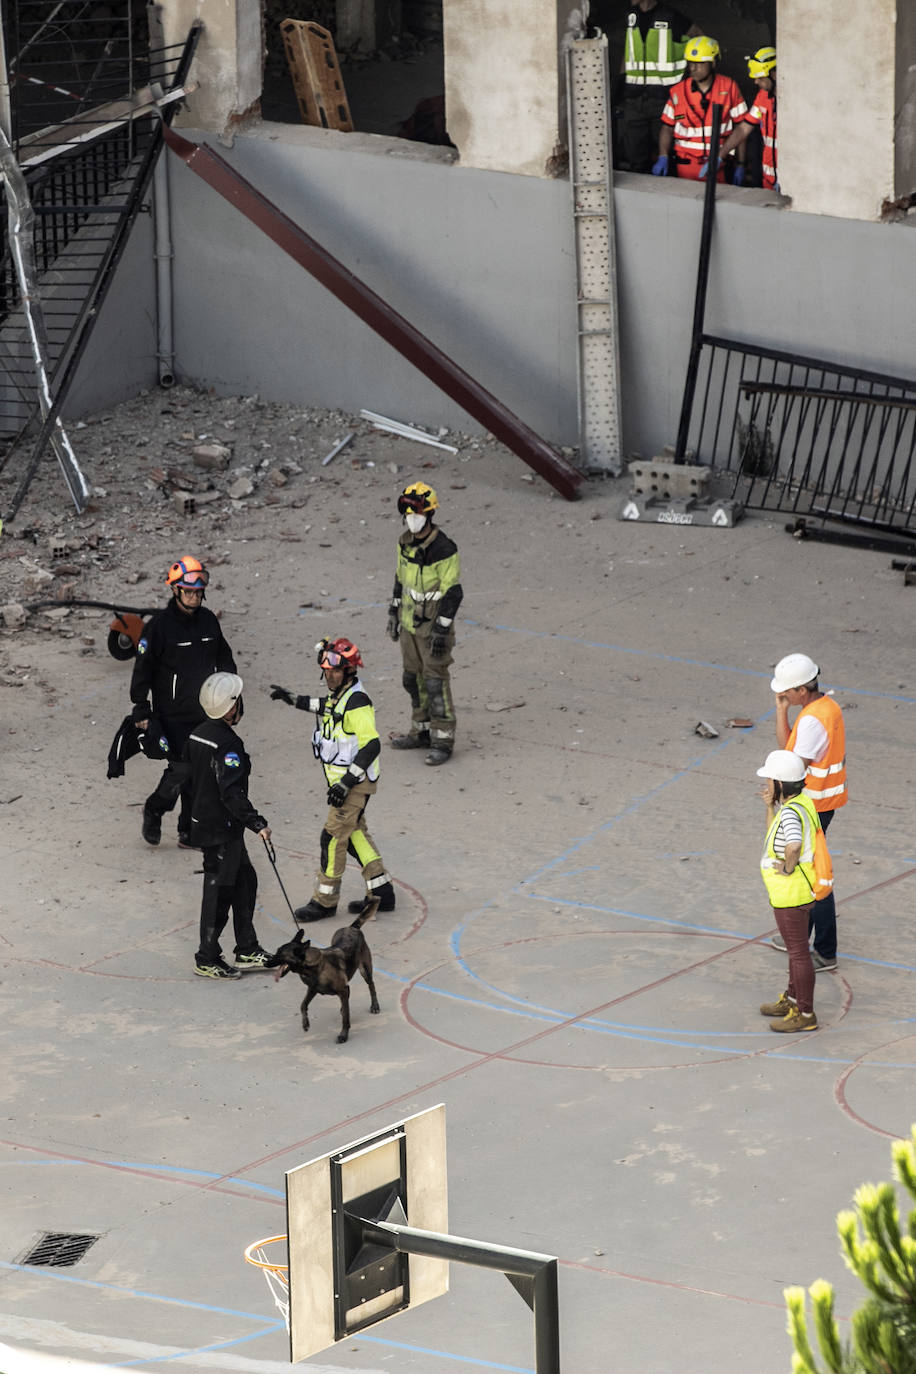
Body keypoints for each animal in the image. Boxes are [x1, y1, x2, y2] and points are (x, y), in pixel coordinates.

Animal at [269, 901, 379, 1038]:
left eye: (280, 954)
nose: (265, 962)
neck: (314, 967)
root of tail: (352, 927)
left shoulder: (342, 990)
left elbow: (346, 1017)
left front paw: (343, 1034)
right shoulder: (312, 989)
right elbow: (303, 1005)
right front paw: (305, 1023)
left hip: (365, 969)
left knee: (371, 985)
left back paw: (375, 1005)